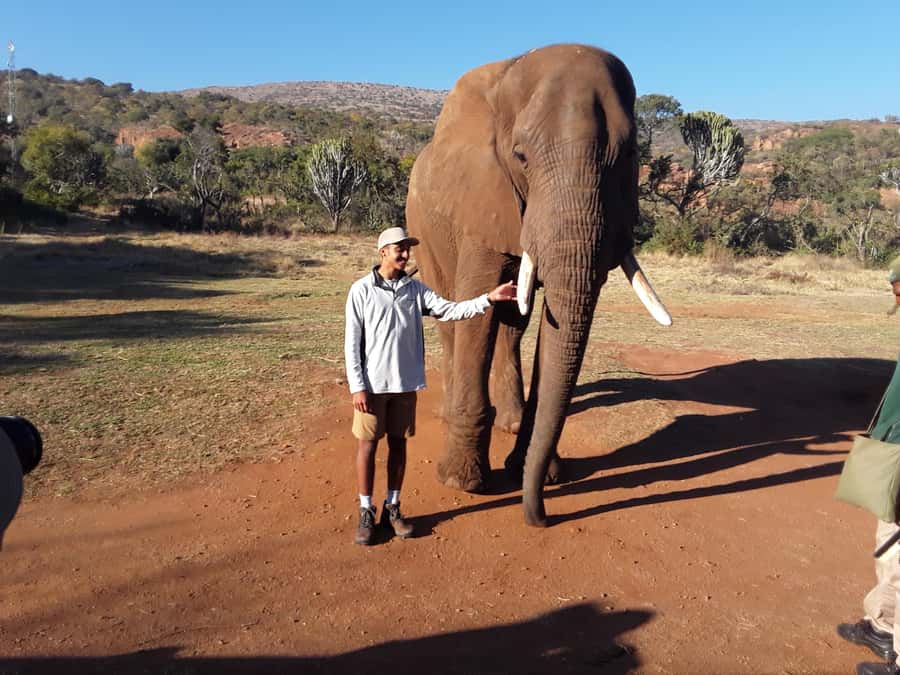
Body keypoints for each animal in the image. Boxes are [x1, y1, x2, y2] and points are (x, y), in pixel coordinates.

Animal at [406, 44, 671, 527]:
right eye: (521, 156)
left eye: (629, 156)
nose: (542, 518)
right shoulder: (482, 198)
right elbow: (477, 307)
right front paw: (462, 483)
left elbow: (553, 323)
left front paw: (536, 473)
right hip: (423, 225)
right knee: (451, 316)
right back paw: (449, 414)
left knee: (513, 325)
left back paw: (509, 422)